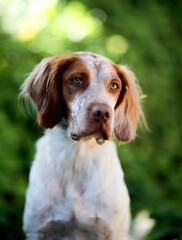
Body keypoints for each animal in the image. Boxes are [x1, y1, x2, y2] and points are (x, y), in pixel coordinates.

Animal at [21, 51, 144, 239]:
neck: (78, 158)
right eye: (77, 79)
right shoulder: (38, 230)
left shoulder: (112, 231)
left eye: (114, 85)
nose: (103, 112)